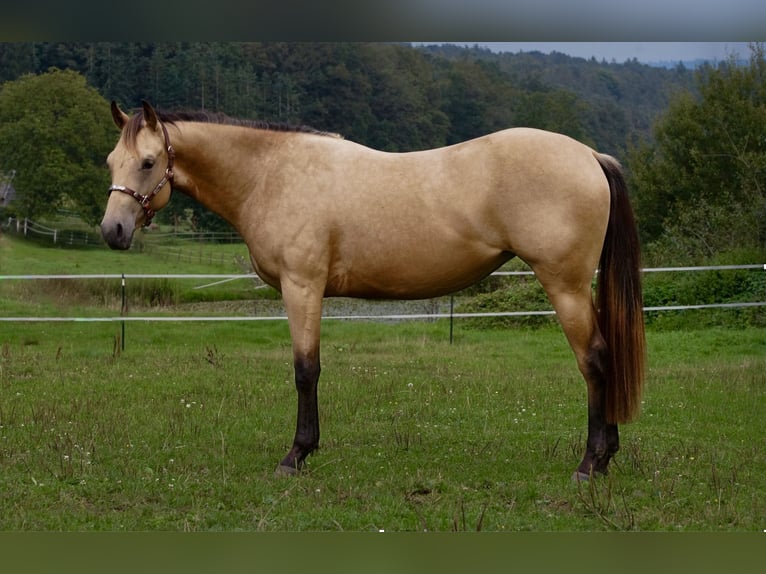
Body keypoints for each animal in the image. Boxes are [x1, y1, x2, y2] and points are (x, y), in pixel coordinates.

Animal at [99, 102, 644, 482]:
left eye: (148, 162)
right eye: (111, 161)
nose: (112, 231)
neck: (273, 173)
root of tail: (589, 155)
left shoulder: (302, 288)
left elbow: (306, 371)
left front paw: (296, 455)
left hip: (565, 286)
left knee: (595, 360)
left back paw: (590, 464)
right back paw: (606, 457)